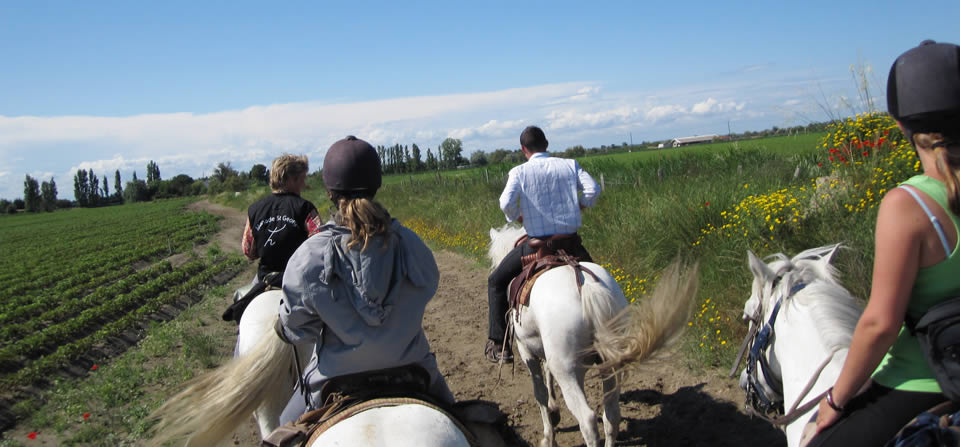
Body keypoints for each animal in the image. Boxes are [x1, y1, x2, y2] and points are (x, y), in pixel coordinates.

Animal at [487, 225, 699, 447]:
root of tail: (588, 288)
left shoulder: (526, 350)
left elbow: (540, 393)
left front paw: (548, 436)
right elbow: (547, 375)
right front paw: (554, 412)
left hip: (568, 370)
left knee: (588, 419)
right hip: (609, 365)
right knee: (611, 415)